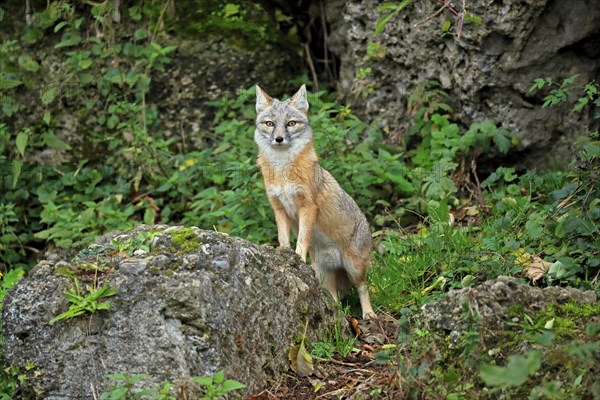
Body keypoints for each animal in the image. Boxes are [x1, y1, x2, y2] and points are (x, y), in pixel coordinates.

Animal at [253, 84, 376, 318]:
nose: (279, 139)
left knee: (363, 287)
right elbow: (284, 239)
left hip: (354, 268)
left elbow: (301, 239)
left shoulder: (308, 206)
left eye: (291, 123)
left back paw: (368, 315)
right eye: (270, 123)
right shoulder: (279, 208)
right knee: (333, 301)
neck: (283, 171)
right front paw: (284, 256)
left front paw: (298, 259)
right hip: (322, 274)